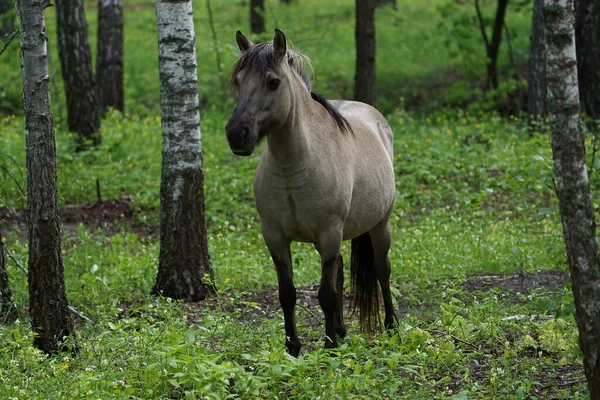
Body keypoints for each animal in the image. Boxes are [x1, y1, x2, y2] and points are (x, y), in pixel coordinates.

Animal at [225, 30, 398, 356]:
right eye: (238, 81)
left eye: (273, 82)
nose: (236, 134)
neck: (295, 168)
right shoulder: (275, 238)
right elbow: (287, 293)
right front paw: (293, 347)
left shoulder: (328, 234)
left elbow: (326, 294)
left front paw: (328, 347)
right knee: (341, 271)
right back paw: (341, 329)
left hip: (379, 225)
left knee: (382, 270)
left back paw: (391, 326)